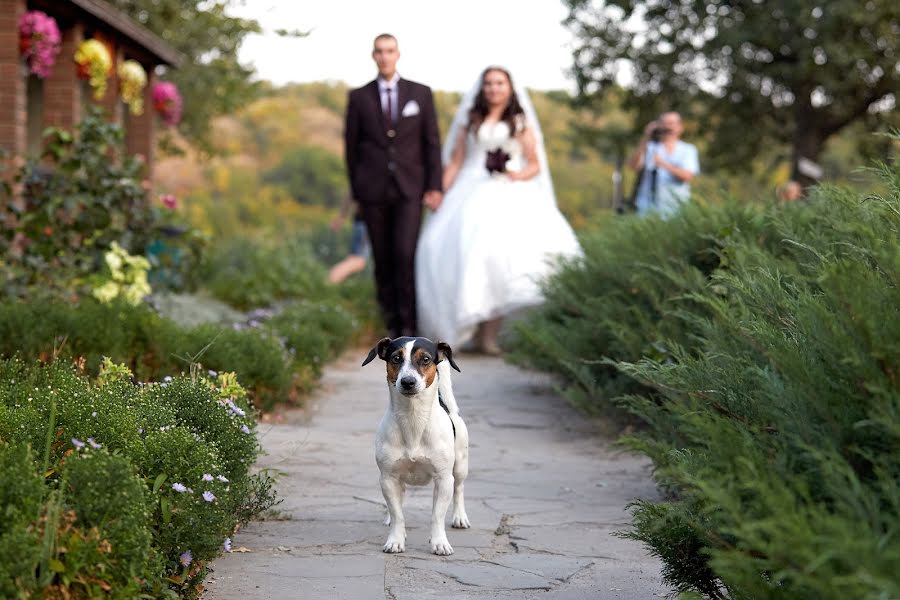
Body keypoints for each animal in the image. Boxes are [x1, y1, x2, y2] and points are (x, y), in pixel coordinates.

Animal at [362, 336, 472, 556]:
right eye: (396, 358)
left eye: (426, 359)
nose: (408, 381)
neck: (413, 419)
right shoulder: (388, 478)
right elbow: (398, 514)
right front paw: (395, 540)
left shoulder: (443, 479)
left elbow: (437, 515)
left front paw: (439, 542)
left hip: (460, 466)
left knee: (459, 489)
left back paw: (459, 517)